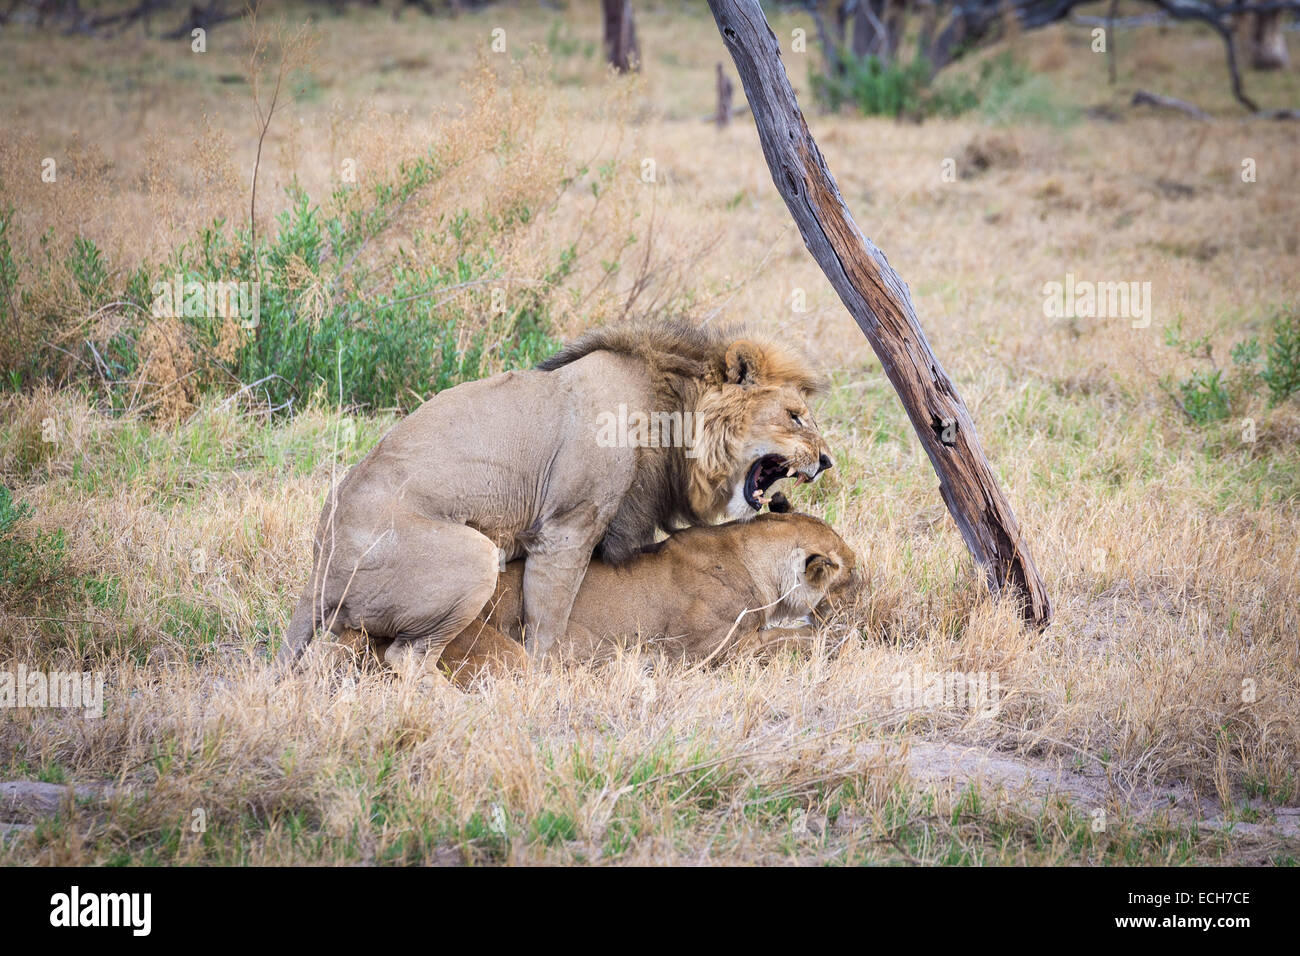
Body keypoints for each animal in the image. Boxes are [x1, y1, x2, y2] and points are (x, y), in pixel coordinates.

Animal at [283, 321, 832, 671]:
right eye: (796, 416)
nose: (827, 461)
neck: (672, 414)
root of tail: (320, 570)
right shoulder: (568, 526)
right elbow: (549, 619)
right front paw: (551, 676)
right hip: (474, 555)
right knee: (406, 657)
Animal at [366, 512, 863, 686]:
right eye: (852, 577)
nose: (861, 602)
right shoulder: (707, 652)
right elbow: (784, 640)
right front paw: (836, 641)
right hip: (502, 653)